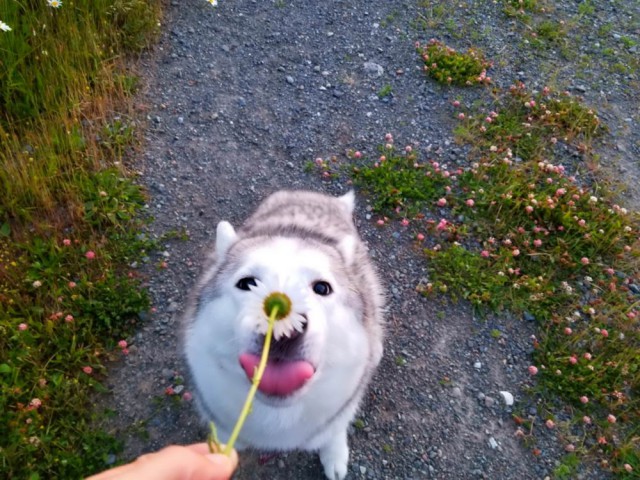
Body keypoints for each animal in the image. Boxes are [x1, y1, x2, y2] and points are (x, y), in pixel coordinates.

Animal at [182, 189, 382, 478]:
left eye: (322, 288)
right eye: (247, 283)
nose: (283, 331)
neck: (277, 419)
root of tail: (310, 194)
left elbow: (334, 431)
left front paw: (334, 454)